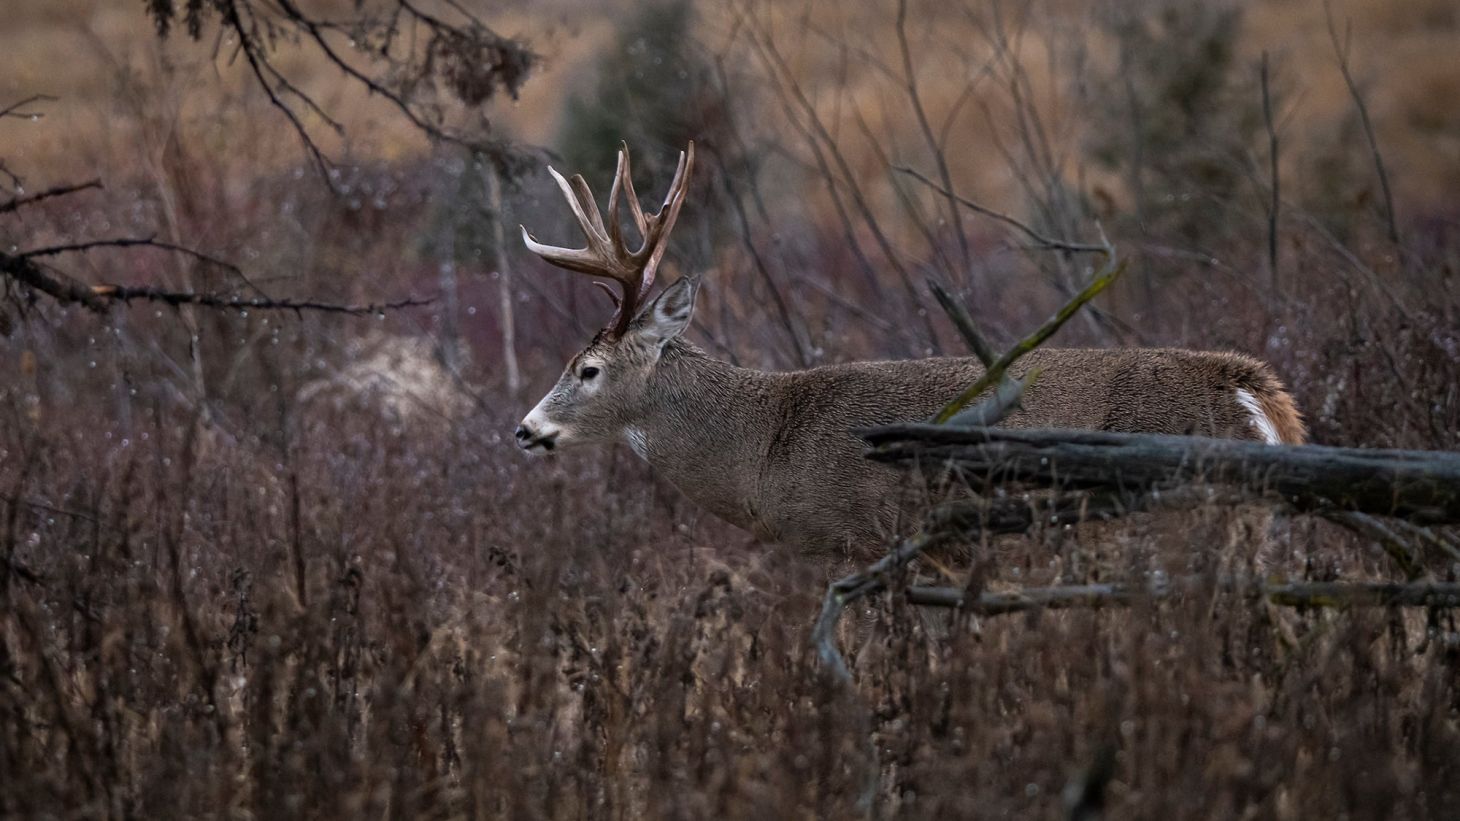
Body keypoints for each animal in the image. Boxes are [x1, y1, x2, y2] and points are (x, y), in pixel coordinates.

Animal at [514, 142, 1307, 560]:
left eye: (586, 369)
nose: (523, 429)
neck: (765, 447)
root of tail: (1253, 396)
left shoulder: (863, 539)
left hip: (1178, 523)